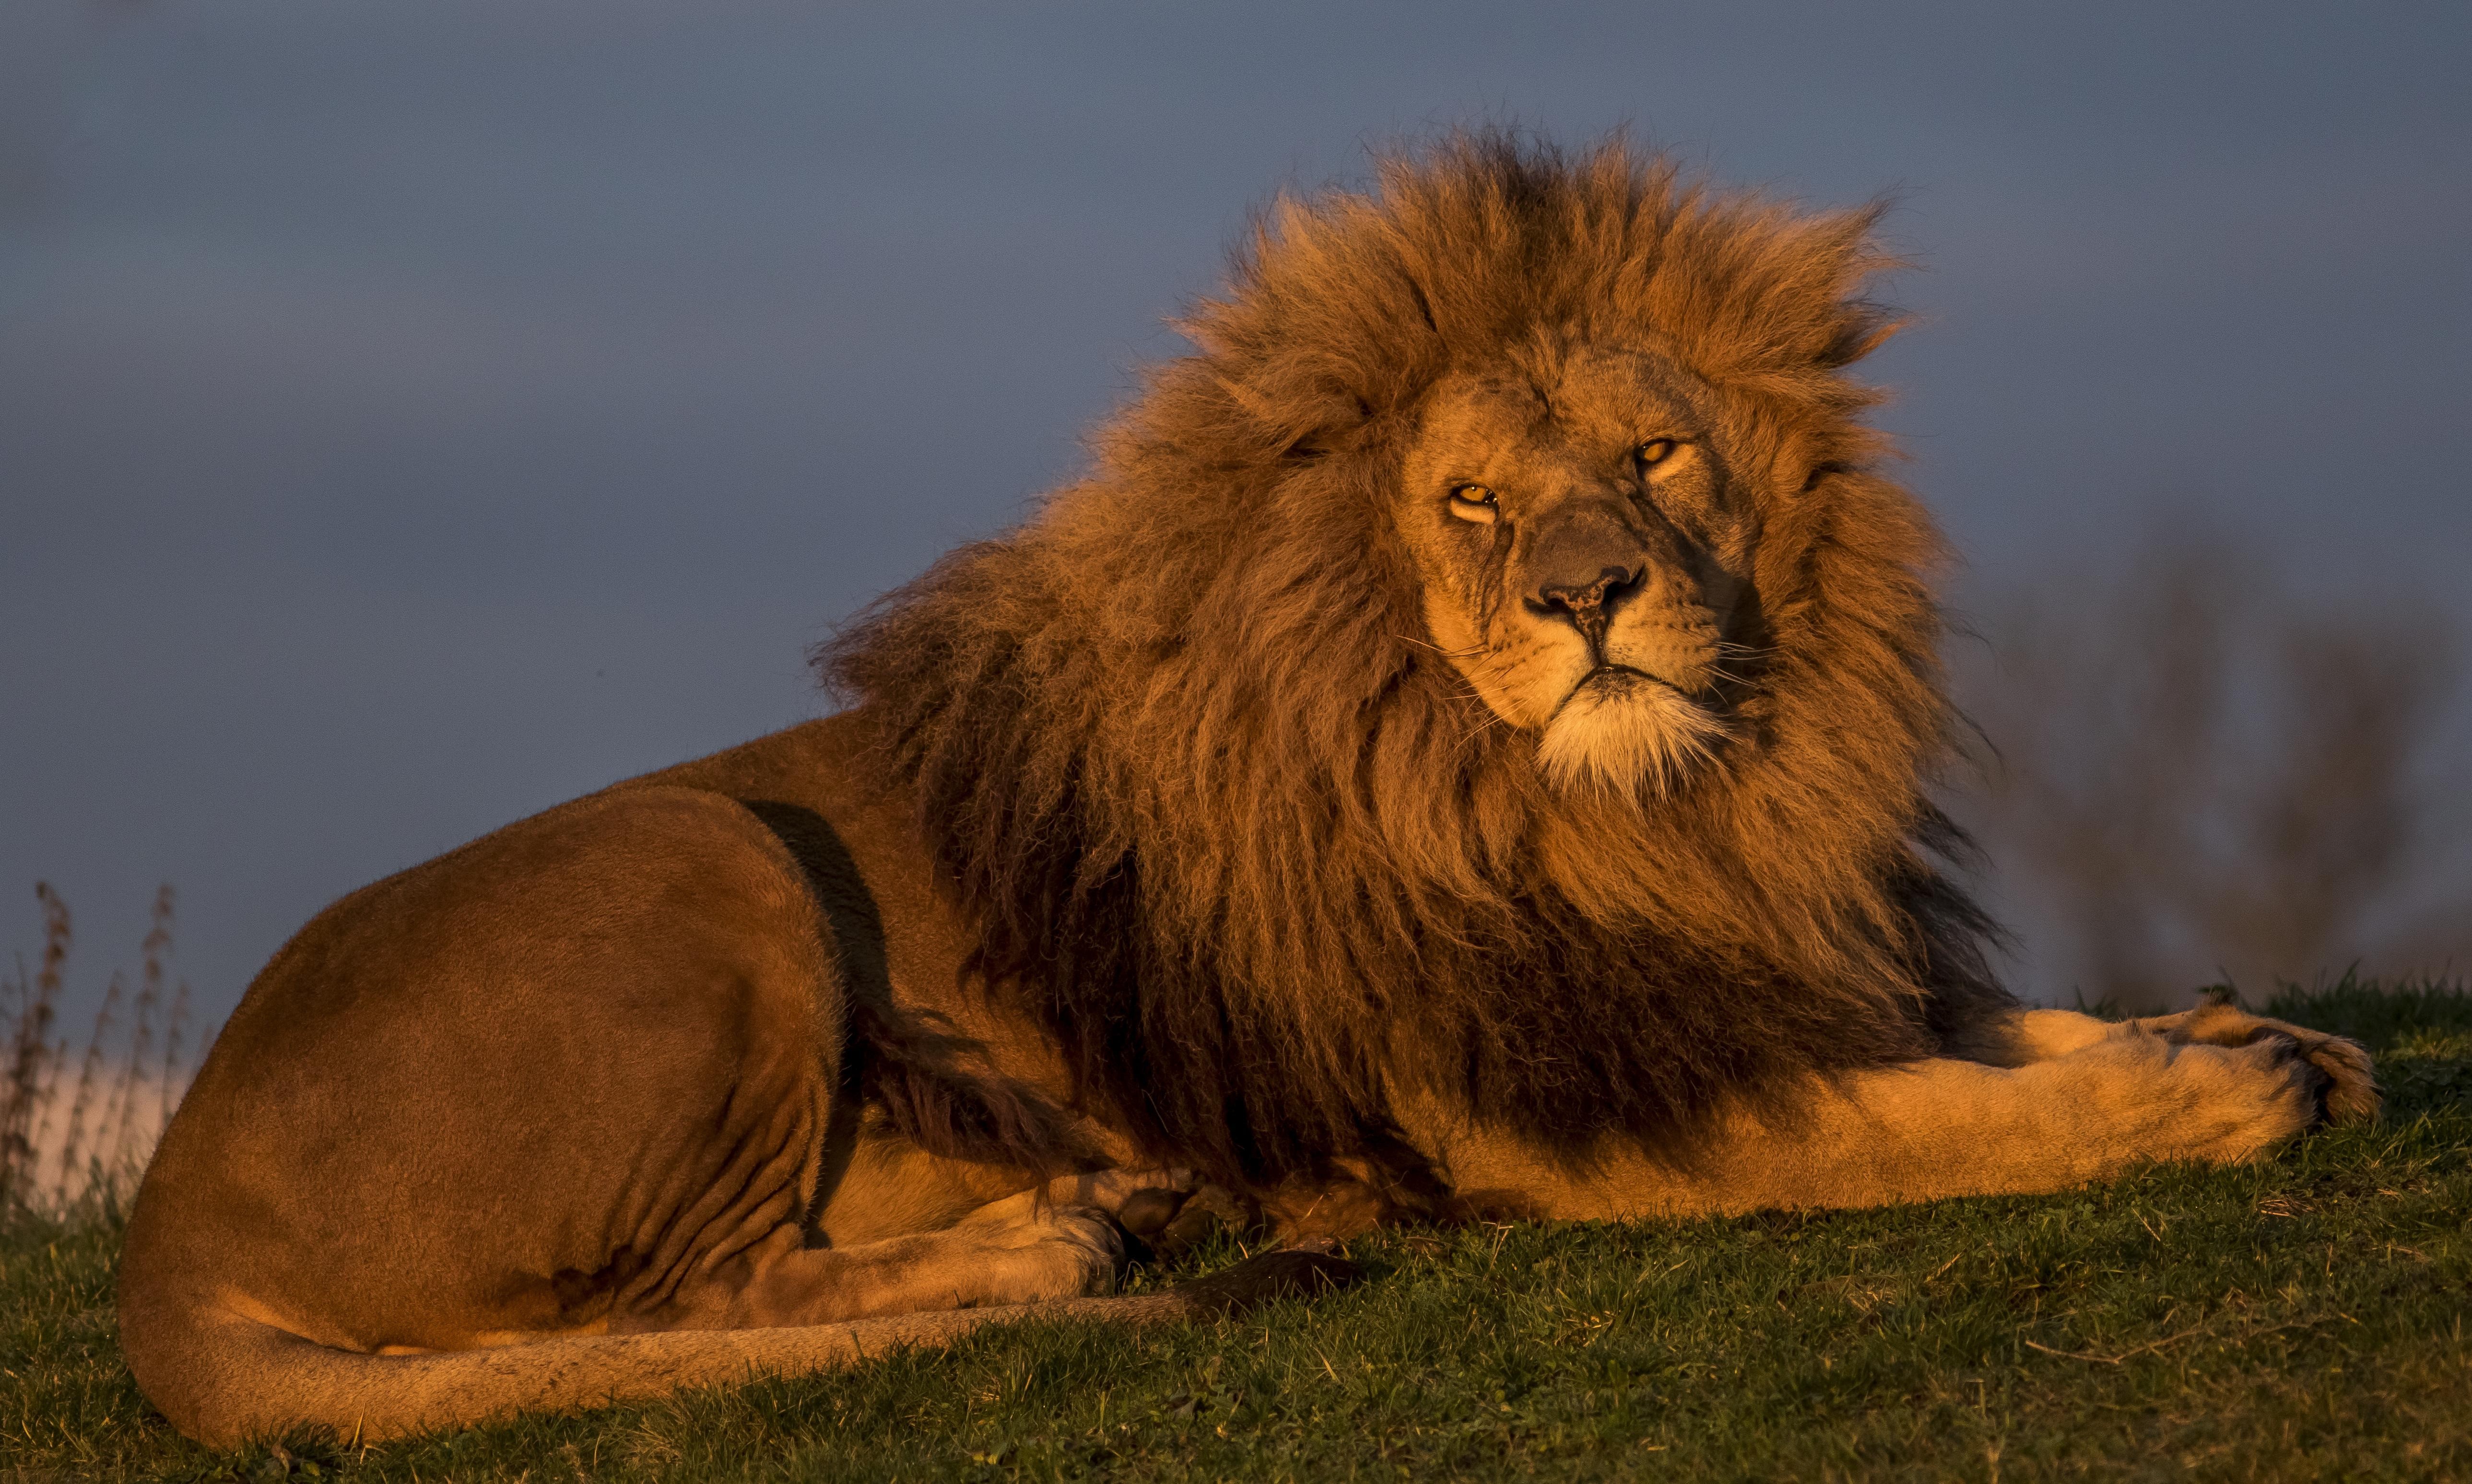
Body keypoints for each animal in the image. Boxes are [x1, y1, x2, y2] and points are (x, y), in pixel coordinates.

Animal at [118, 133, 2377, 1447]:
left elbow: (1993, 1030)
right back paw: (1054, 1248)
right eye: (1472, 504)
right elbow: (1926, 1124)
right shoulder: (1544, 1113)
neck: (1635, 817)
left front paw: (2243, 1027)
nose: (1587, 596)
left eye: (1649, 457)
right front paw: (2201, 1096)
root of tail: (161, 1216)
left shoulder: (1727, 977)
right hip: (705, 855)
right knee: (716, 1289)